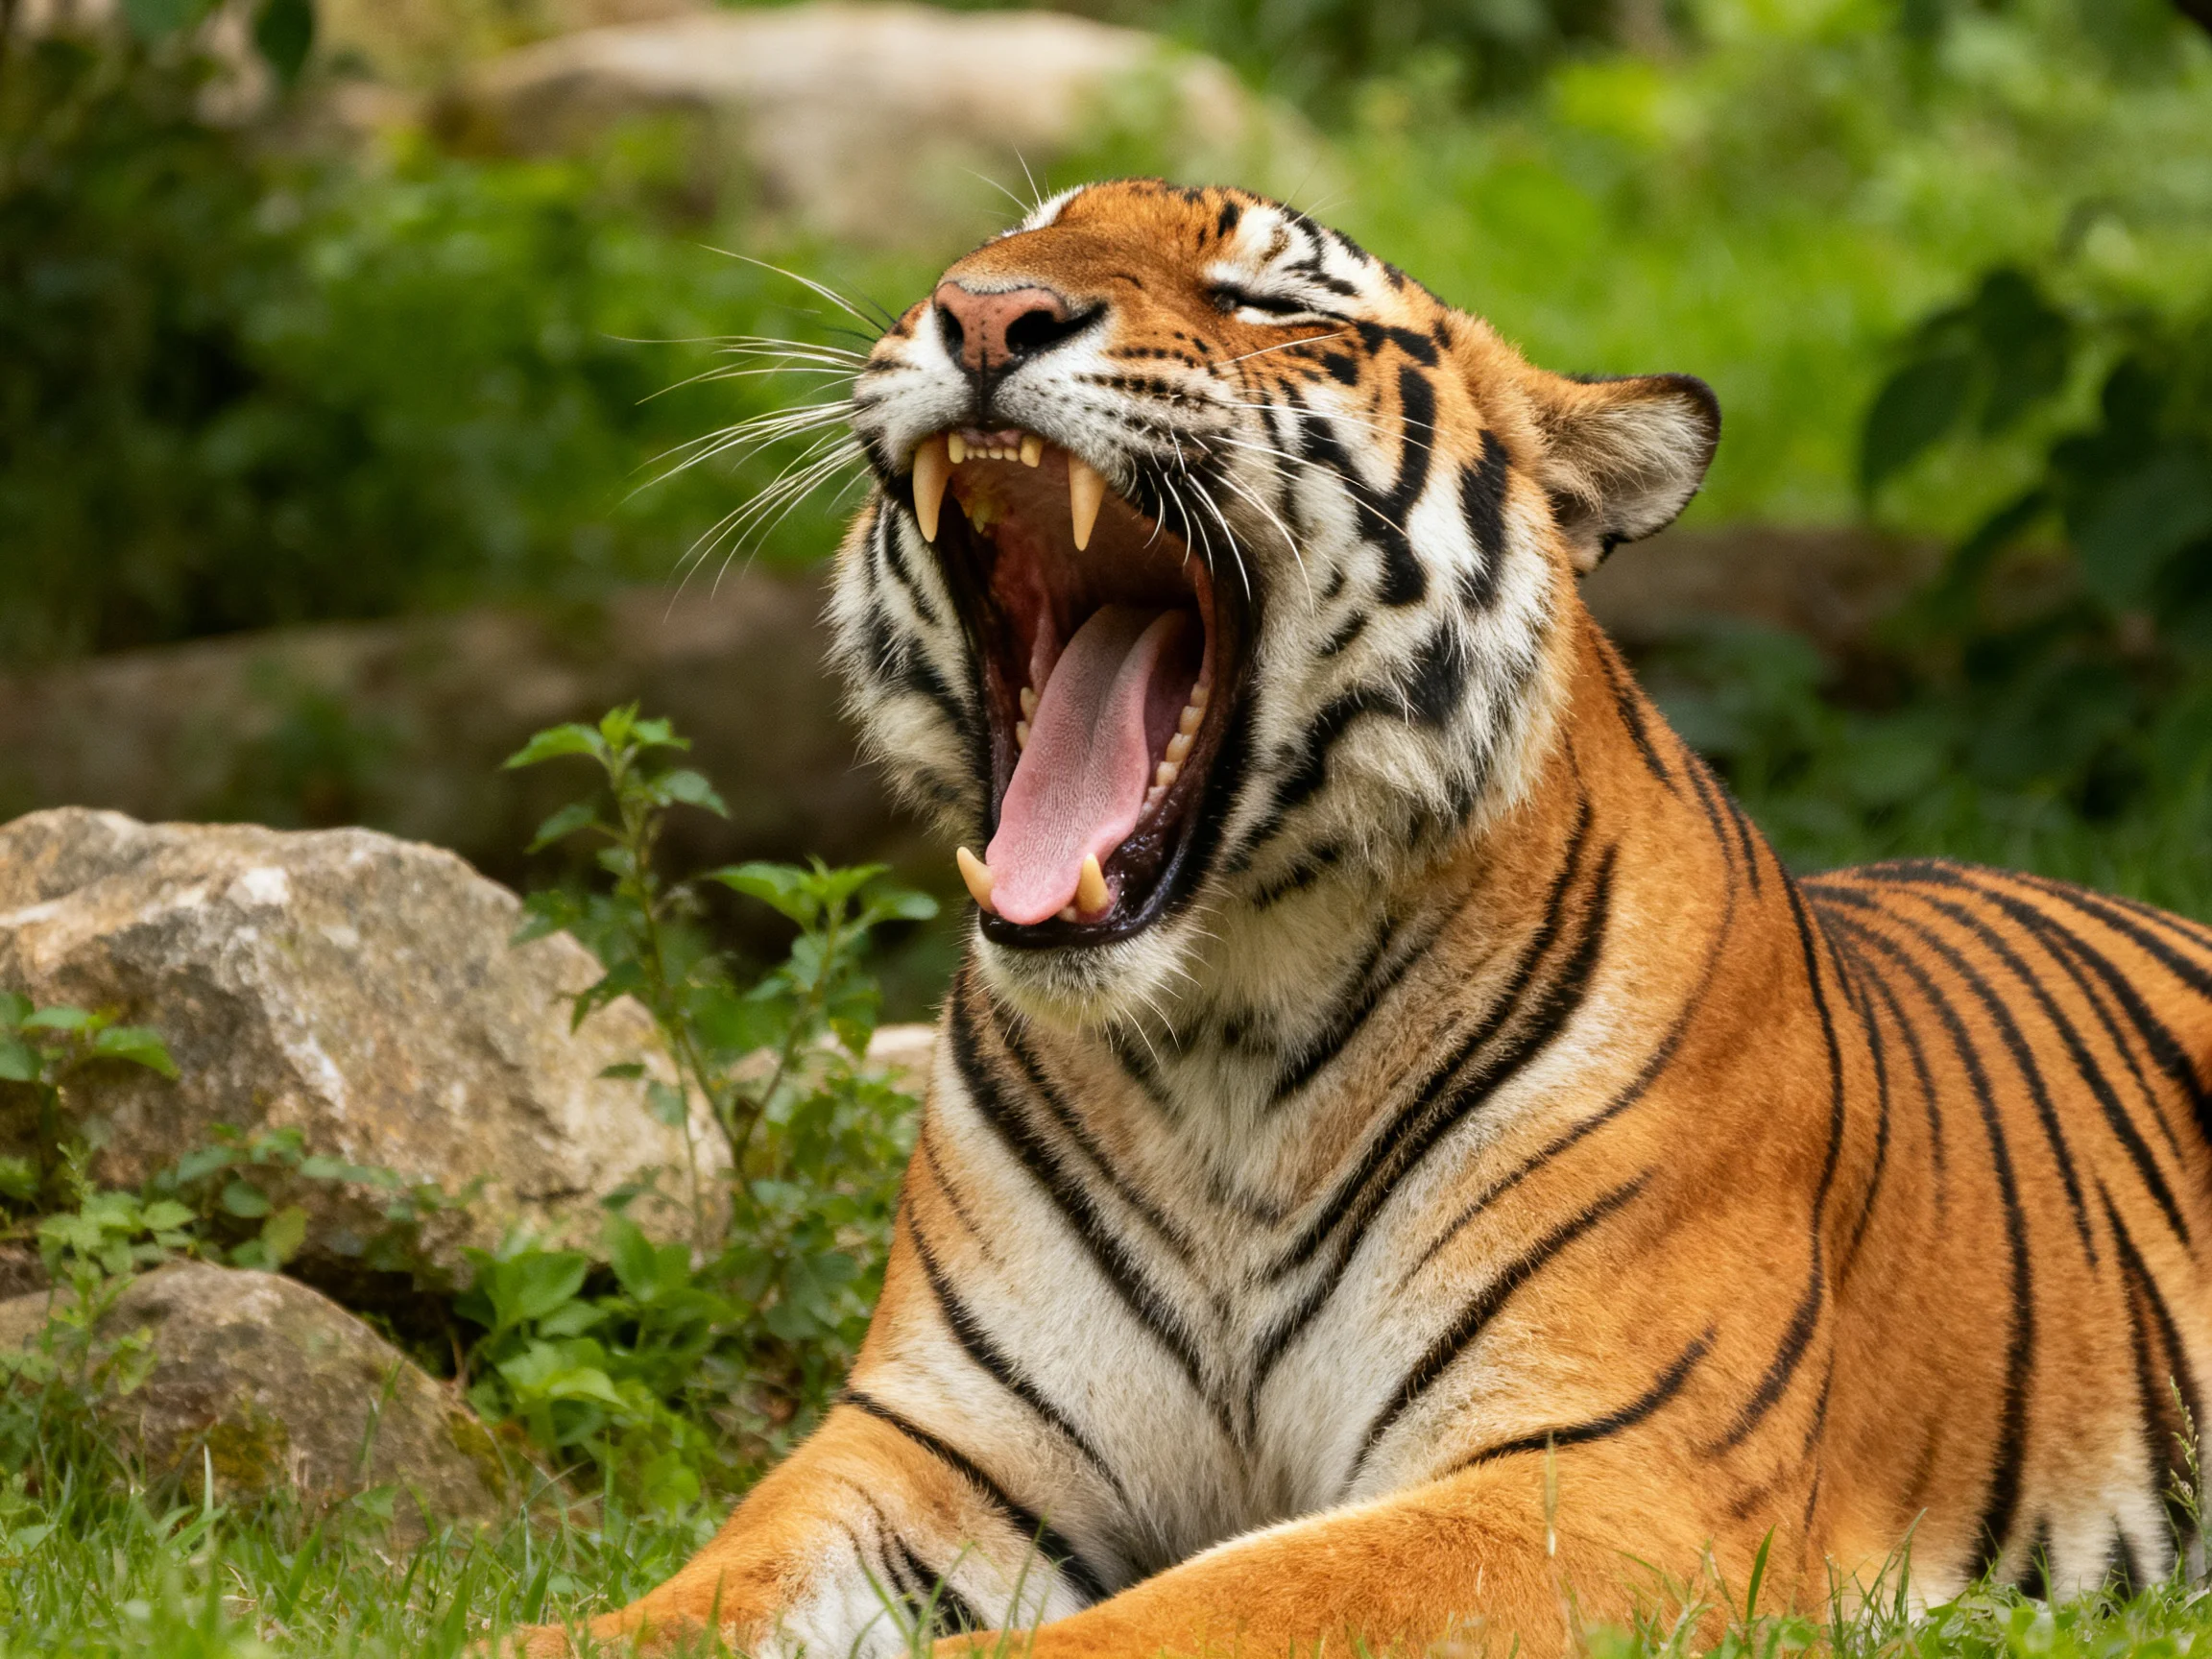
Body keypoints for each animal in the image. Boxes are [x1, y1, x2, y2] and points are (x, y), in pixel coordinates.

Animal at [515, 180, 2212, 1658]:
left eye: (1264, 299)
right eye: (995, 247)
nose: (986, 312)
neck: (1218, 1034)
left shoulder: (1594, 1471)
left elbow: (1203, 1614)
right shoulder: (941, 1443)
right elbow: (705, 1591)